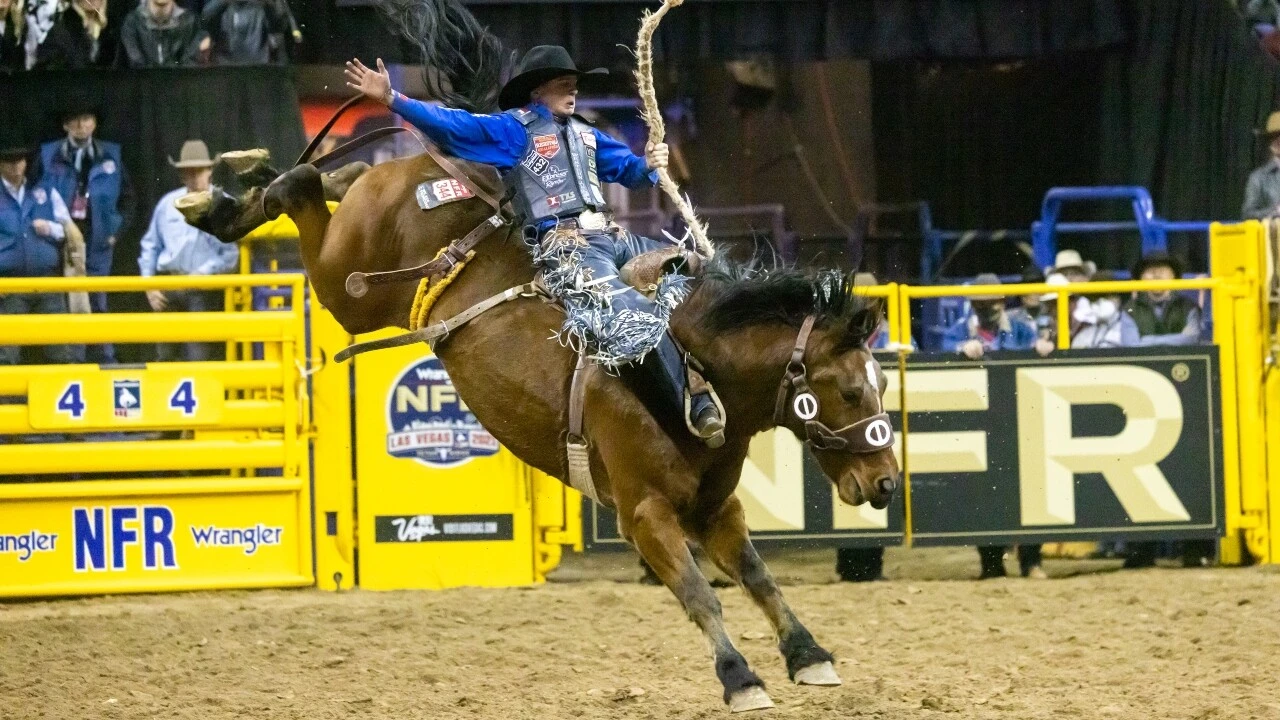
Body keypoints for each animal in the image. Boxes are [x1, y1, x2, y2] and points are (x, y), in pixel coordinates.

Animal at [177, 0, 901, 707]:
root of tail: (443, 173)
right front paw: (740, 677)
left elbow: (757, 576)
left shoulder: (715, 510)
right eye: (849, 390)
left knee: (344, 174)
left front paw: (808, 655)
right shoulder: (643, 513)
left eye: (882, 386)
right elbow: (699, 594)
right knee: (301, 188)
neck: (696, 375)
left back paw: (240, 188)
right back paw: (231, 193)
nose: (888, 483)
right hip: (345, 284)